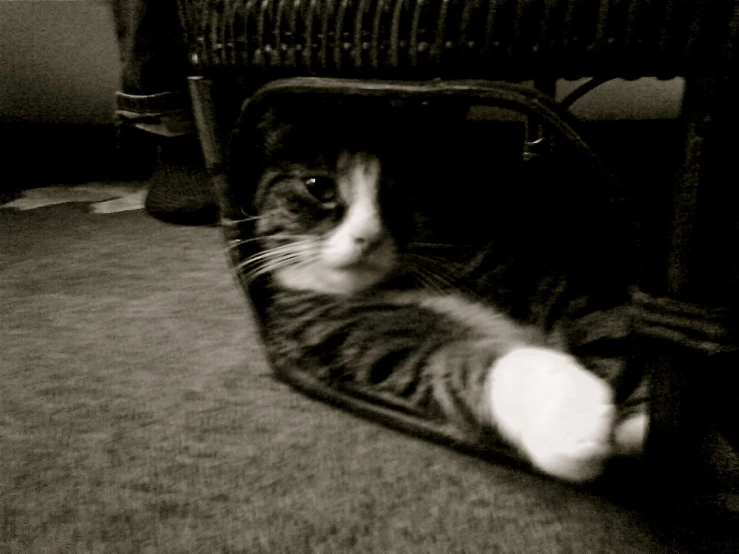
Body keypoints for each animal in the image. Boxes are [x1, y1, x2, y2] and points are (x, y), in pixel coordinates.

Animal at [230, 97, 648, 480]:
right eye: (317, 186)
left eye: (399, 192)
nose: (367, 237)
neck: (397, 282)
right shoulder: (349, 332)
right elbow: (454, 358)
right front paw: (569, 416)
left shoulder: (537, 269)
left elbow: (600, 320)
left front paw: (640, 416)